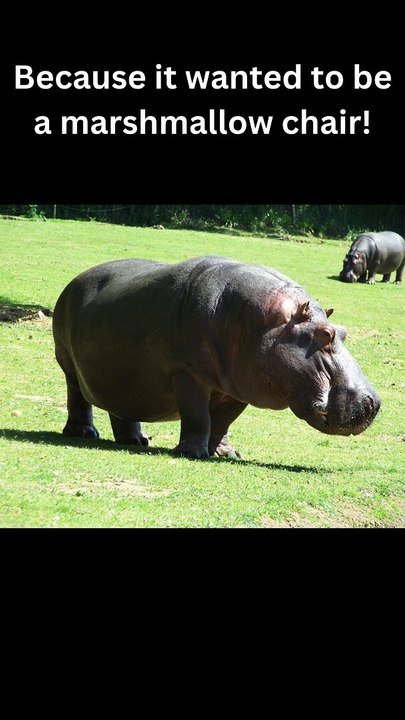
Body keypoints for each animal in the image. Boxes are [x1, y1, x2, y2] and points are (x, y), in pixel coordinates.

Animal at [53, 256, 381, 459]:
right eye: (325, 334)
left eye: (344, 331)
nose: (373, 403)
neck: (263, 324)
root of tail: (74, 280)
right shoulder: (186, 374)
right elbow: (198, 415)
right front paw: (191, 453)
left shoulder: (237, 388)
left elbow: (222, 422)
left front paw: (226, 454)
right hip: (67, 362)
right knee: (77, 397)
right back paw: (84, 434)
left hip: (122, 375)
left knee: (123, 406)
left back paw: (136, 440)